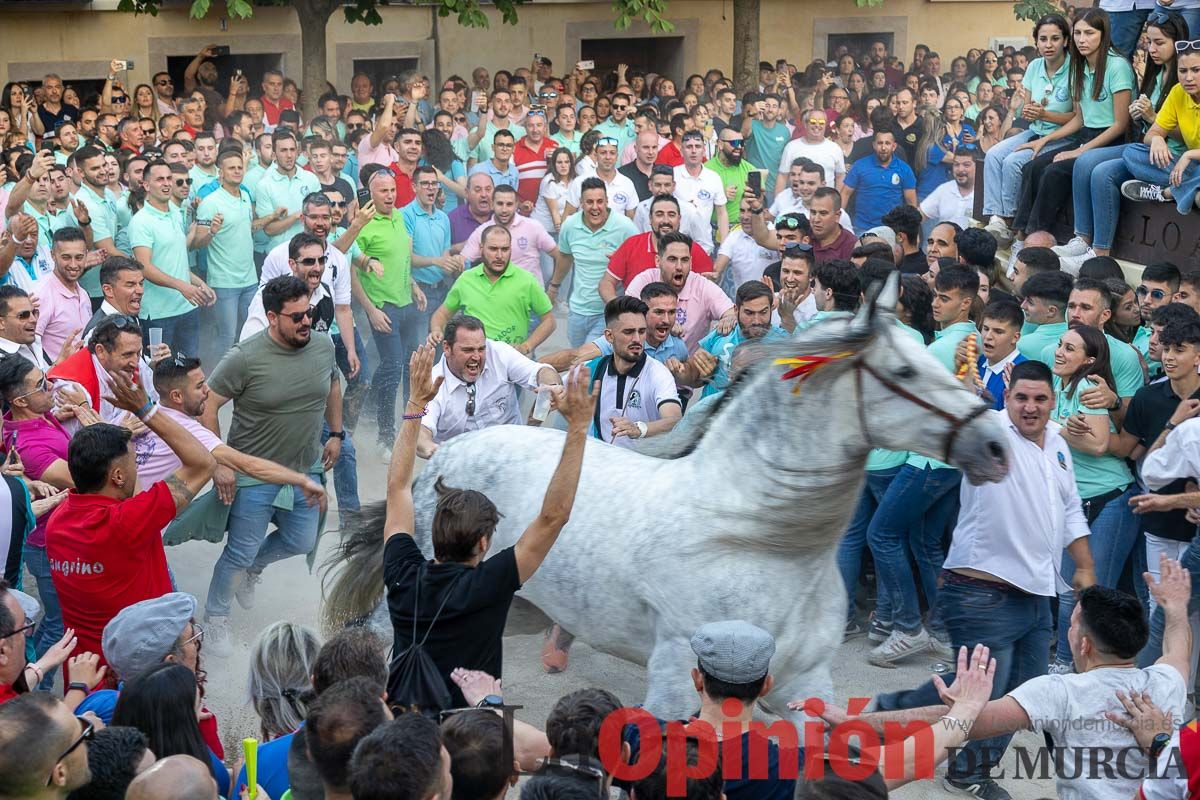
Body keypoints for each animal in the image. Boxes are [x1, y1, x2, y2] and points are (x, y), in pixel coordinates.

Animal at [324, 281, 1008, 724]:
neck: (754, 539)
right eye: (906, 371)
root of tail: (447, 454)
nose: (996, 444)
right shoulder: (679, 674)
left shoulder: (807, 686)